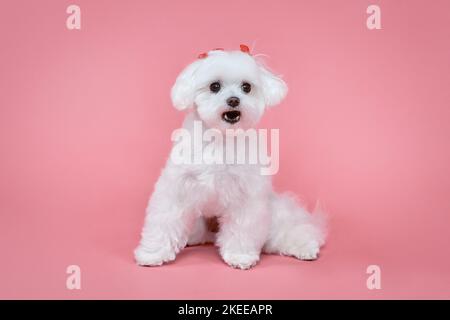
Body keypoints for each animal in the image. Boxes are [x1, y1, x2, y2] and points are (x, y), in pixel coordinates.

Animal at [134, 45, 326, 270]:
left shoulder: (246, 195)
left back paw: (305, 248)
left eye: (246, 87)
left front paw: (239, 256)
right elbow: (163, 221)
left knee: (294, 231)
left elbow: (242, 229)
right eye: (214, 86)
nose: (234, 100)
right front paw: (152, 253)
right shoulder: (176, 188)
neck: (221, 138)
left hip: (275, 215)